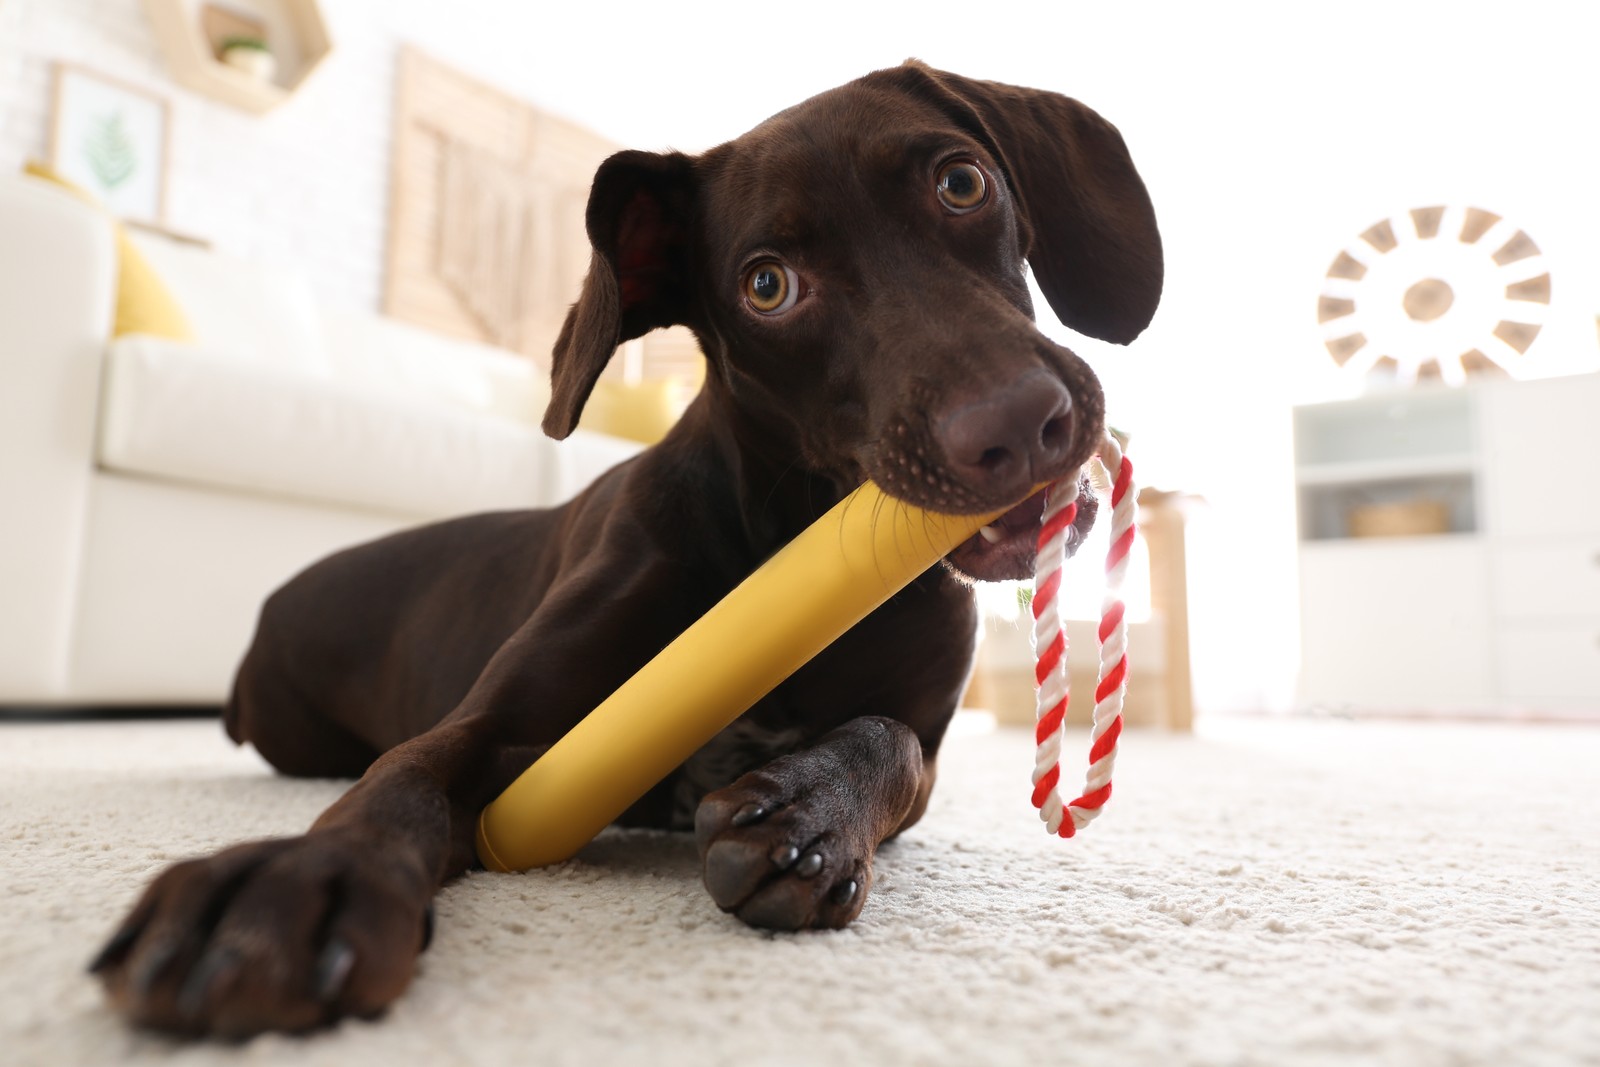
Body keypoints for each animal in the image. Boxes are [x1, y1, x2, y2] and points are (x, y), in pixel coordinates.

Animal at [90, 58, 1164, 1036]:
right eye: (767, 286)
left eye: (962, 182)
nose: (1019, 424)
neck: (776, 537)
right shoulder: (506, 728)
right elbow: (404, 778)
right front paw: (297, 881)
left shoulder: (927, 748)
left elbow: (887, 740)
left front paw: (809, 810)